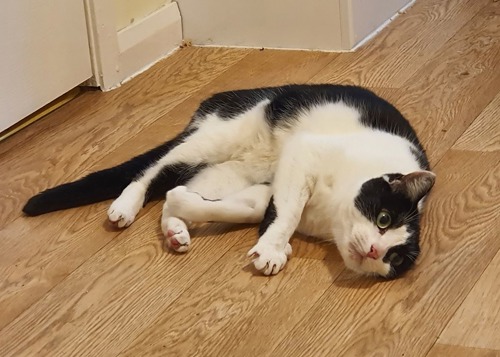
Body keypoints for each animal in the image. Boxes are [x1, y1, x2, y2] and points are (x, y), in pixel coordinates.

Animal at [23, 84, 436, 278]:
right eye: (383, 218)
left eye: (395, 258)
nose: (375, 251)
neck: (330, 216)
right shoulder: (304, 153)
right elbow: (286, 213)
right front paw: (272, 249)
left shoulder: (266, 192)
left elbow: (251, 210)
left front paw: (269, 243)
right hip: (215, 137)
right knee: (151, 171)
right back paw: (125, 206)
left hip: (227, 172)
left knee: (179, 191)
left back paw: (175, 230)